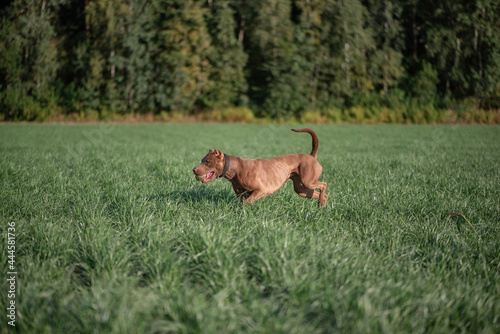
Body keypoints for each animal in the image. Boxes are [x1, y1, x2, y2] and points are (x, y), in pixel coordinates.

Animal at [192, 129, 328, 205]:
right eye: (202, 160)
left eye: (207, 161)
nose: (194, 169)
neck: (235, 169)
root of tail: (311, 156)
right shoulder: (240, 195)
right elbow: (239, 204)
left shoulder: (260, 190)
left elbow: (246, 203)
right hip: (302, 190)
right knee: (323, 194)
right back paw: (322, 205)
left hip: (307, 181)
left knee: (324, 184)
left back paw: (321, 202)